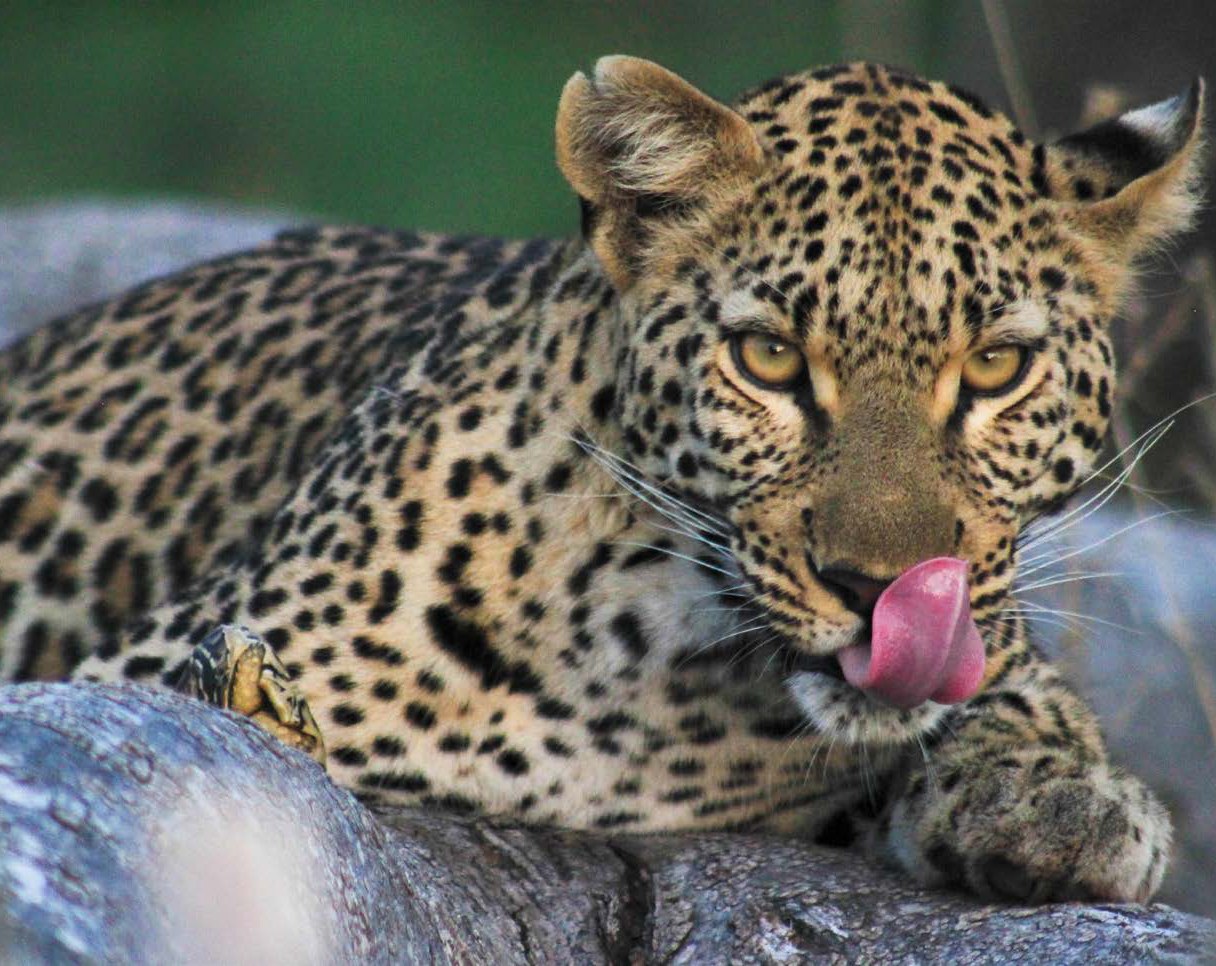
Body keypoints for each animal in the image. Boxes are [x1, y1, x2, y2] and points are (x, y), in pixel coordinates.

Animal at [0, 56, 1205, 905]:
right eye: (768, 358)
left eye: (997, 367)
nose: (880, 591)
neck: (659, 660)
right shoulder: (141, 663)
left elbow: (1016, 689)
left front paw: (1058, 797)